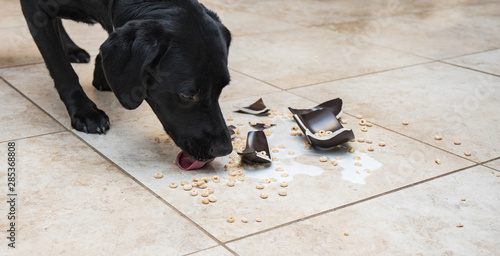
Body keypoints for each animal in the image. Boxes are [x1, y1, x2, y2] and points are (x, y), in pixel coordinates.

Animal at [20, 0, 235, 160]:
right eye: (188, 95)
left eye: (221, 88)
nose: (225, 149)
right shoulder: (36, 10)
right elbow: (61, 67)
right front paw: (85, 110)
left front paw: (102, 75)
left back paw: (72, 48)